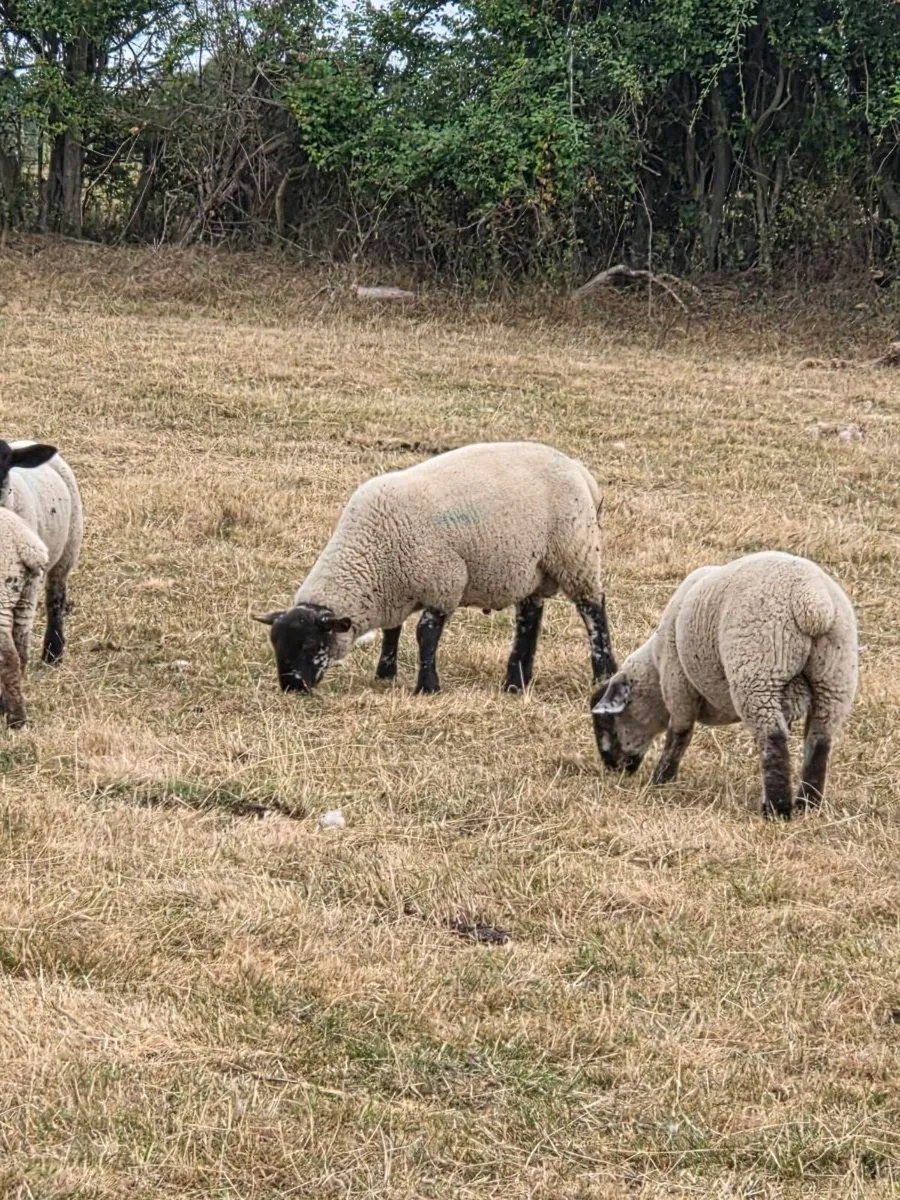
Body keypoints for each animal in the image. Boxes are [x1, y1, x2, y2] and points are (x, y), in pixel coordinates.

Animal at [0, 440, 84, 664]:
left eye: (5, 462)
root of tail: (25, 441)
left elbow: (20, 628)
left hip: (68, 548)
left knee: (55, 597)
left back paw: (53, 653)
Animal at [254, 440, 617, 695]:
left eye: (310, 645)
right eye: (275, 644)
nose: (291, 688)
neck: (369, 552)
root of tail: (580, 472)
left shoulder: (443, 582)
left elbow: (425, 634)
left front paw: (427, 686)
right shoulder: (395, 590)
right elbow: (392, 631)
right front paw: (385, 674)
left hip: (576, 552)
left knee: (592, 609)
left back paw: (604, 672)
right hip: (530, 569)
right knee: (529, 618)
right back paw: (515, 682)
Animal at [590, 551, 858, 819]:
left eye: (608, 722)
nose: (613, 768)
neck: (656, 667)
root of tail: (813, 603)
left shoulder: (678, 683)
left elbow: (679, 735)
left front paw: (660, 780)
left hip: (759, 672)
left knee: (772, 738)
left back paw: (777, 809)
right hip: (834, 677)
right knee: (819, 740)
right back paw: (807, 804)